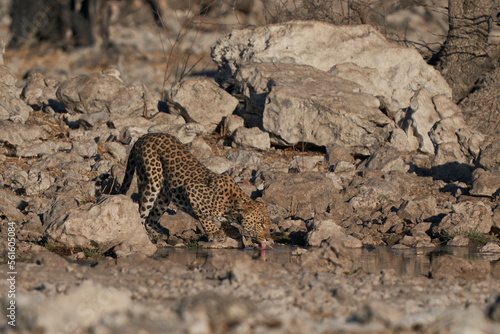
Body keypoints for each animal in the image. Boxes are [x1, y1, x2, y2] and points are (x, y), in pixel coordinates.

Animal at [118, 133, 272, 248]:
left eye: (268, 225)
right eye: (260, 224)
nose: (268, 239)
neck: (231, 208)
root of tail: (144, 136)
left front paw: (230, 230)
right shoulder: (191, 190)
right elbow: (203, 217)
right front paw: (215, 233)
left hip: (164, 196)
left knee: (151, 219)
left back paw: (158, 234)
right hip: (151, 183)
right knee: (142, 214)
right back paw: (144, 236)